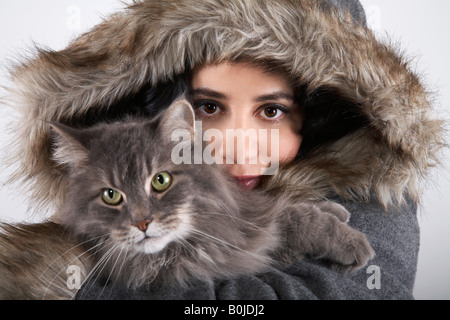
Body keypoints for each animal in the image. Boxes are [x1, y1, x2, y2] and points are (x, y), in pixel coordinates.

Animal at [0, 99, 372, 298]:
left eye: (161, 180)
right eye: (111, 195)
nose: (142, 222)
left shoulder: (244, 219)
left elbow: (285, 208)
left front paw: (335, 210)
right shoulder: (224, 258)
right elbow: (294, 222)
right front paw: (352, 244)